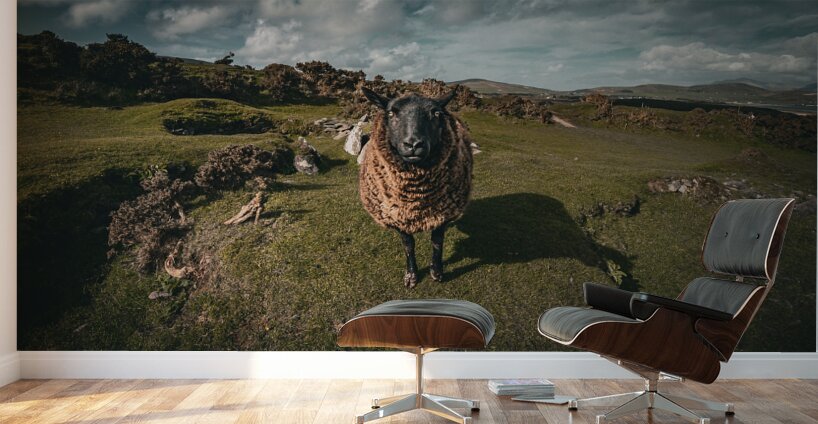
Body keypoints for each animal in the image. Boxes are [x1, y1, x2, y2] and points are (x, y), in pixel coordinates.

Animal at [359, 87, 473, 288]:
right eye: (391, 112)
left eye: (436, 113)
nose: (413, 144)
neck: (416, 196)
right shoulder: (397, 215)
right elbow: (408, 244)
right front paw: (411, 275)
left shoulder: (442, 213)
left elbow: (437, 242)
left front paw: (437, 271)